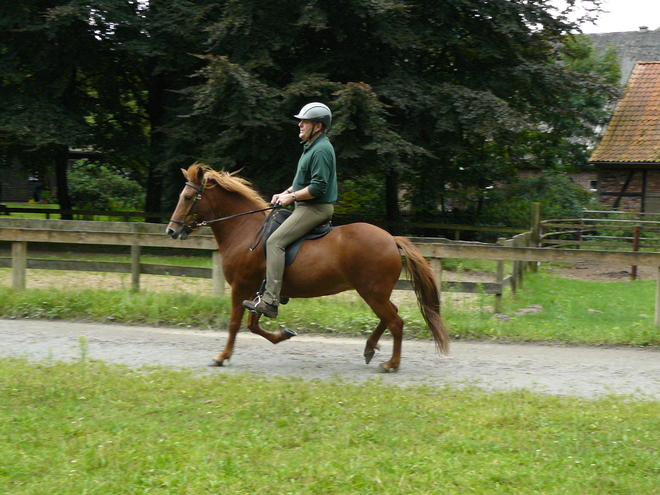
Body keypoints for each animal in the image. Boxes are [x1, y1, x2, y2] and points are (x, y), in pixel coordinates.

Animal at [168, 163, 452, 372]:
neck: (244, 230)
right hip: (376, 293)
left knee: (395, 321)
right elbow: (253, 324)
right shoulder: (259, 293)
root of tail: (391, 239)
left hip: (372, 292)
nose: (171, 231)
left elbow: (236, 323)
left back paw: (391, 363)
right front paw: (283, 335)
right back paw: (370, 348)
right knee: (391, 315)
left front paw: (222, 356)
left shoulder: (242, 287)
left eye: (188, 197)